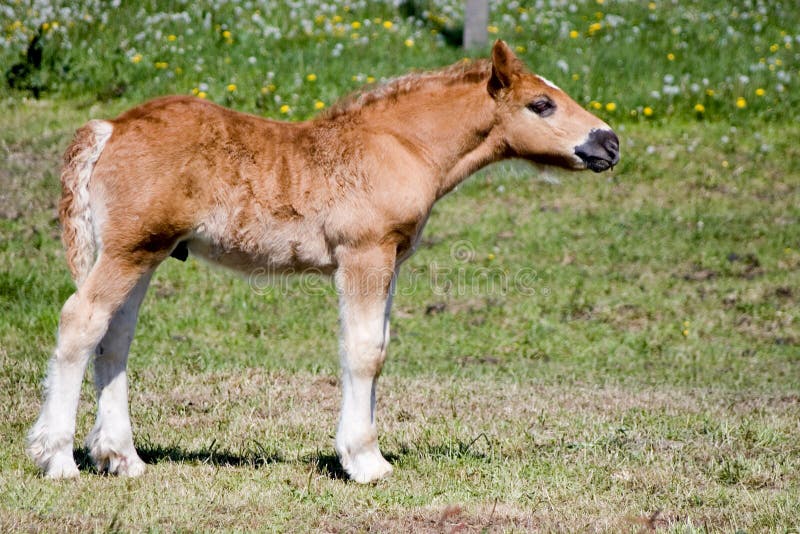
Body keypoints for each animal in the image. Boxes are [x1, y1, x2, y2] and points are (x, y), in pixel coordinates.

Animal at [28, 40, 619, 483]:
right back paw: (58, 459)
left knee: (114, 338)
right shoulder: (364, 254)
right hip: (129, 251)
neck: (400, 146)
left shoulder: (391, 260)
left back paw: (121, 457)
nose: (609, 144)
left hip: (144, 253)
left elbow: (380, 346)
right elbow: (363, 351)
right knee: (81, 321)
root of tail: (111, 128)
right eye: (541, 105)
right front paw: (366, 462)